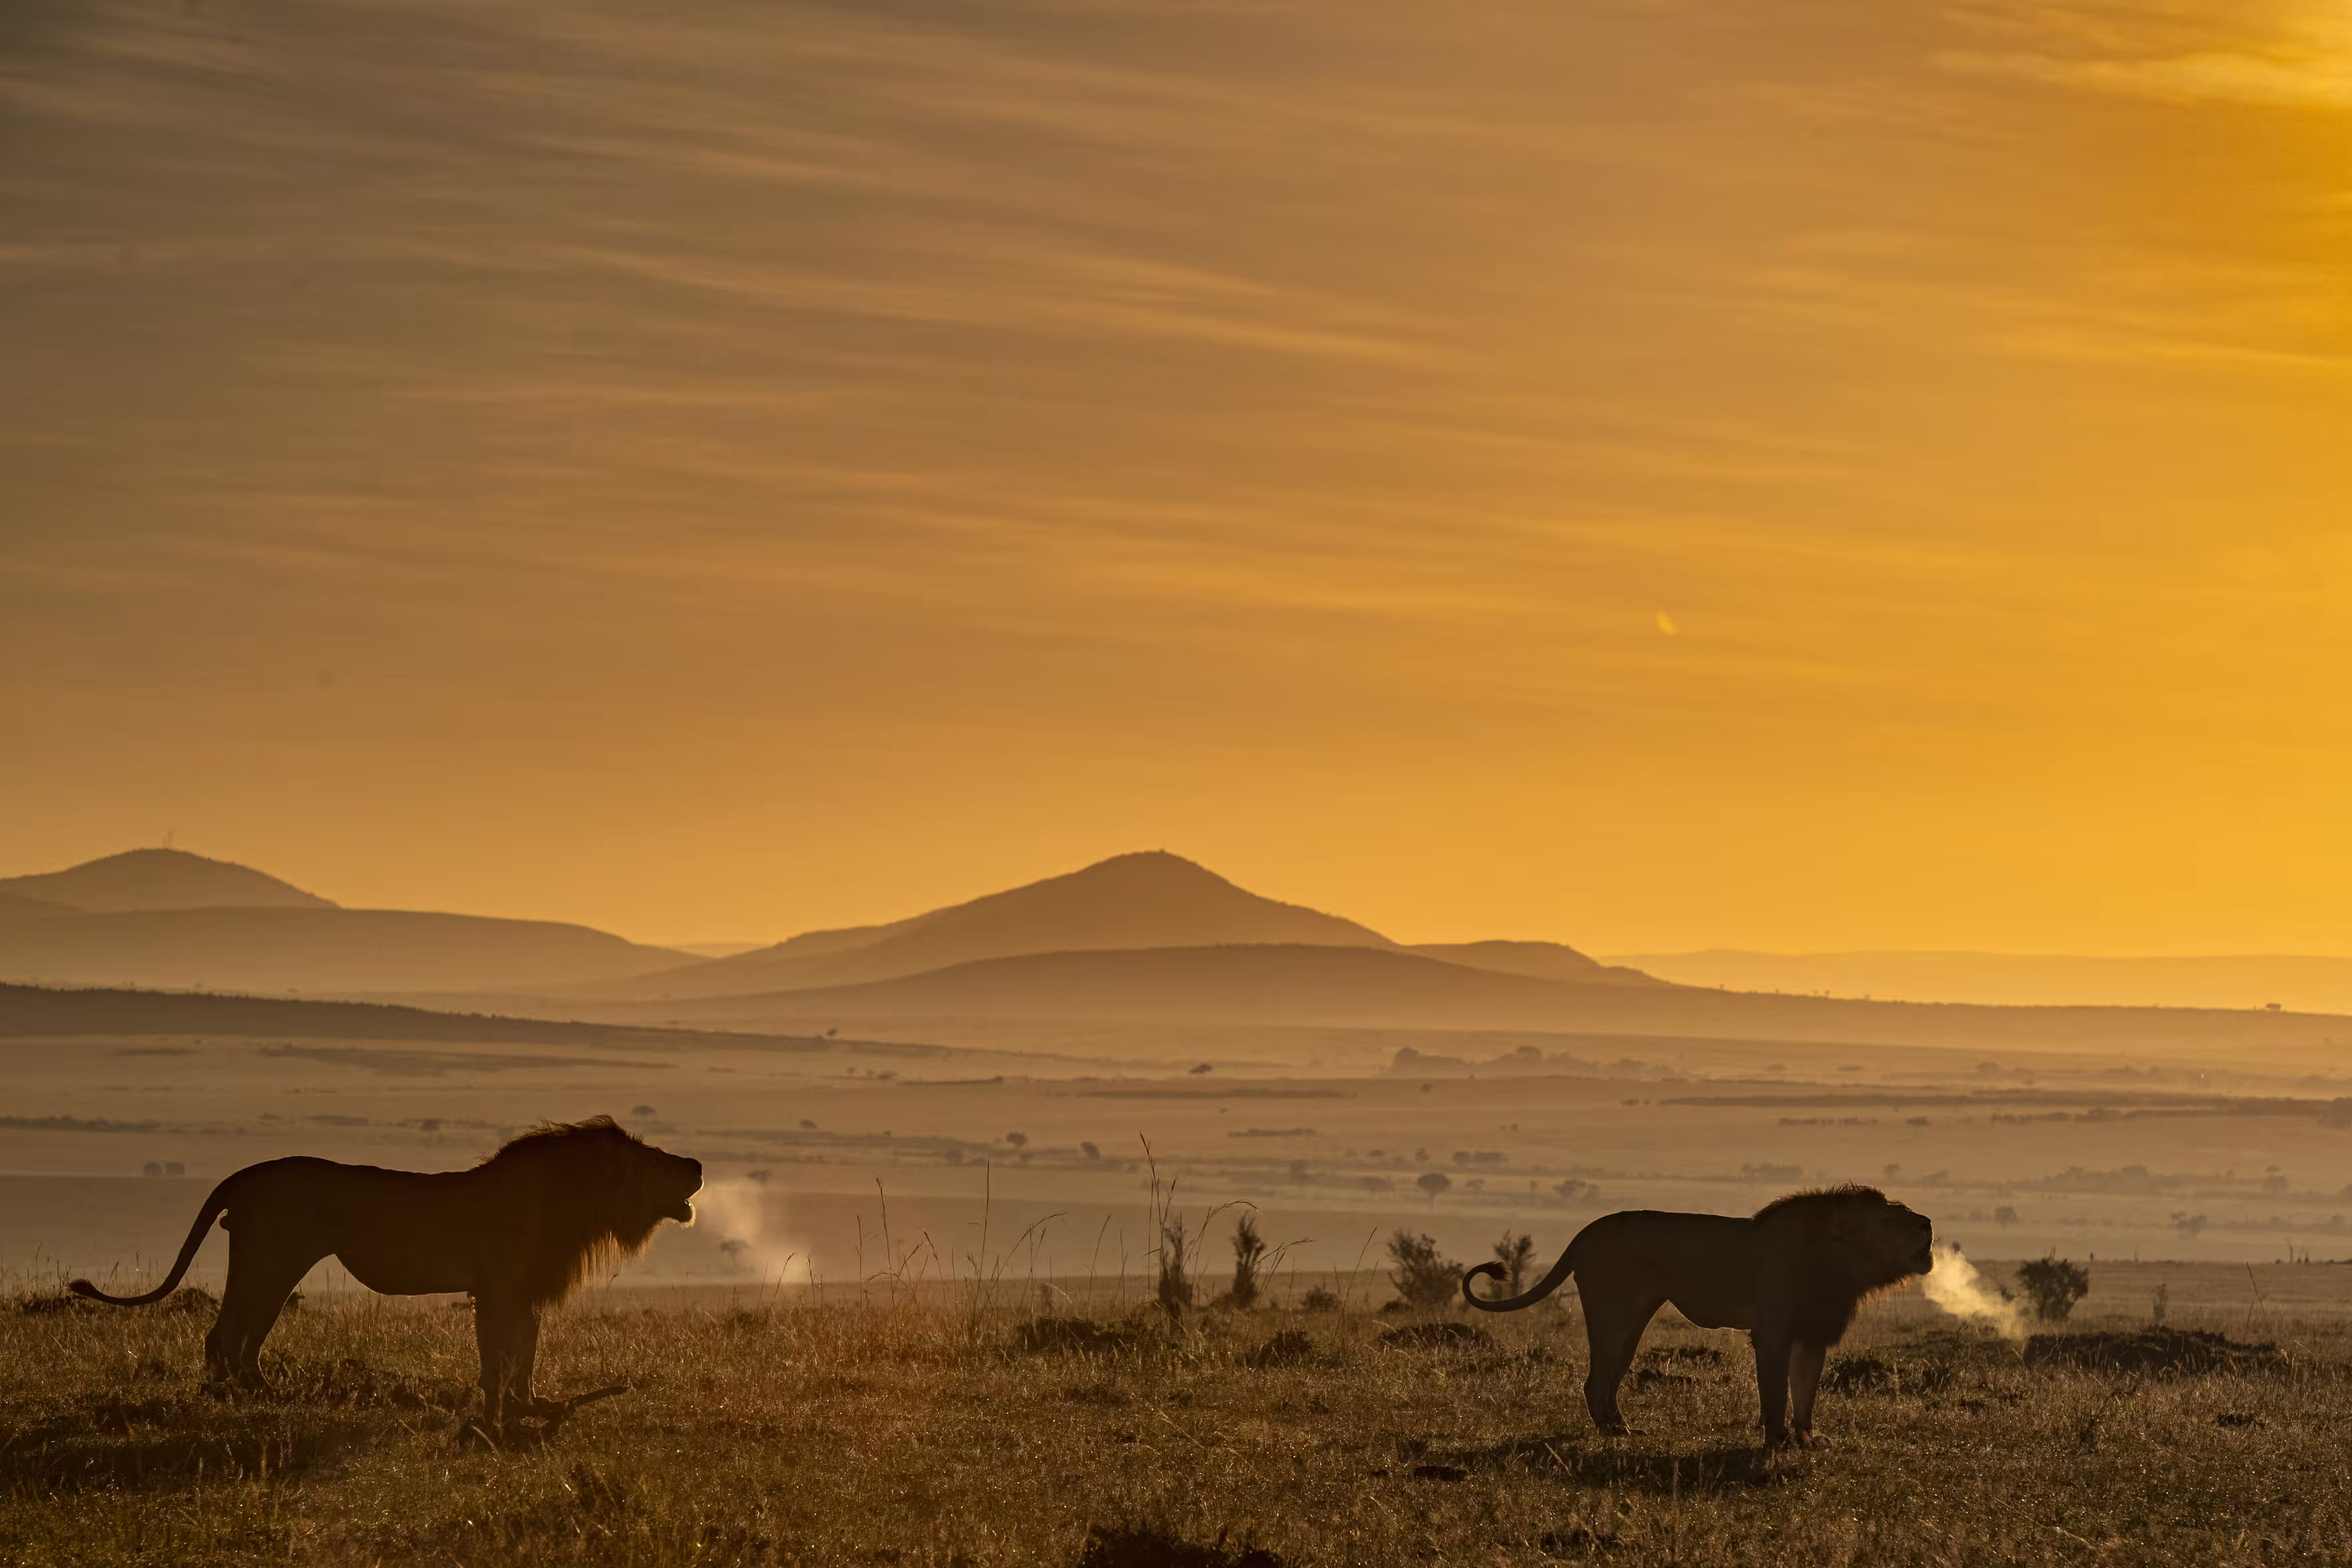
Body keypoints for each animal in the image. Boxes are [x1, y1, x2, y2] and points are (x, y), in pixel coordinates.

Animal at [70, 1116, 701, 1441]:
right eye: (654, 1159)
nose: (696, 1163)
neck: (575, 1203)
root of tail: (244, 1175)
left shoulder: (521, 1292)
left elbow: (524, 1353)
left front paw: (528, 1406)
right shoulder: (497, 1287)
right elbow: (498, 1357)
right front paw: (498, 1417)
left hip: (272, 1264)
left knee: (243, 1337)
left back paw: (264, 1393)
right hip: (272, 1259)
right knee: (226, 1335)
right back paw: (241, 1400)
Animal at [1462, 1185, 1932, 1448]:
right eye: (1888, 1220)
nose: (1928, 1222)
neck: (1841, 1266)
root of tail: (1585, 1233)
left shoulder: (1814, 1333)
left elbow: (1806, 1392)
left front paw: (1809, 1440)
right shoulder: (1774, 1331)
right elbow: (1777, 1392)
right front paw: (1777, 1442)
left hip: (1633, 1318)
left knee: (1608, 1377)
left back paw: (1620, 1427)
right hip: (1614, 1311)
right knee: (1596, 1379)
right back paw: (1615, 1433)